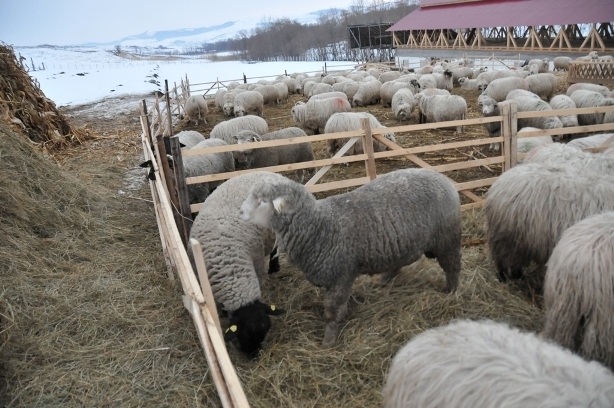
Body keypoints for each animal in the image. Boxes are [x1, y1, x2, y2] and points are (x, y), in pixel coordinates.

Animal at [188, 171, 286, 358]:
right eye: (245, 334)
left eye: (265, 333)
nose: (254, 357)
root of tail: (271, 172)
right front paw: (223, 311)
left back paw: (274, 267)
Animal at [239, 167, 462, 346]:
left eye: (262, 201)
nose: (240, 212)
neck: (319, 226)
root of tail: (440, 176)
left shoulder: (341, 275)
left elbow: (332, 310)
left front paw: (328, 341)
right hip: (403, 242)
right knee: (398, 264)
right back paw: (382, 281)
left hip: (447, 240)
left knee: (452, 267)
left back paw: (450, 292)